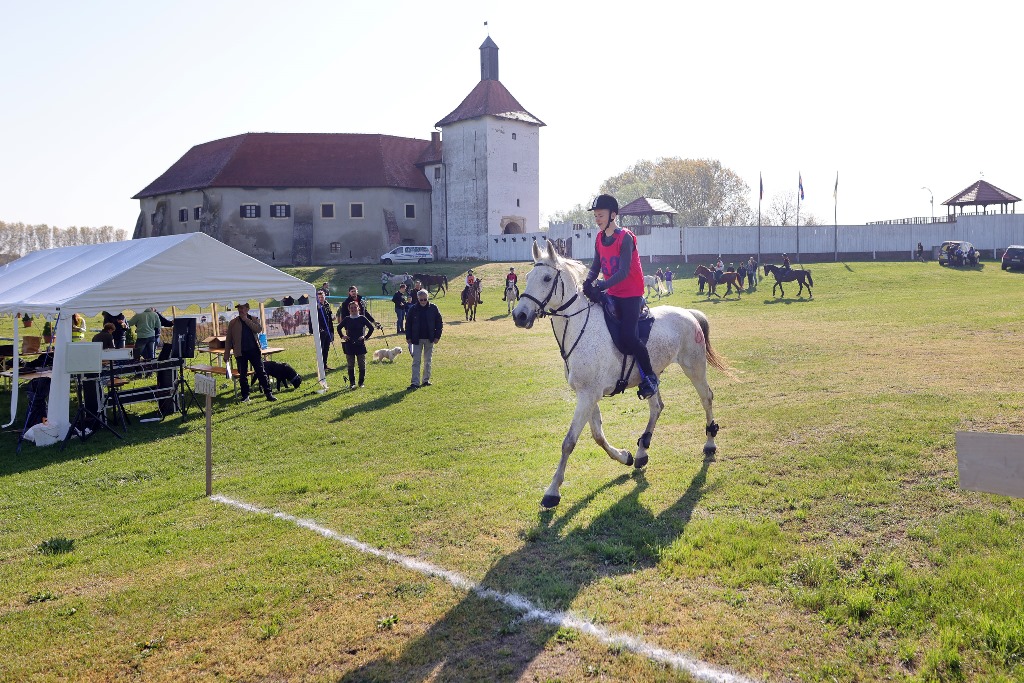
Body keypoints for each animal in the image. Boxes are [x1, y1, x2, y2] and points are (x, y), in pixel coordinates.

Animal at [512, 240, 729, 507]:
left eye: (546, 278)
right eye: (527, 277)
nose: (519, 315)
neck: (578, 326)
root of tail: (690, 314)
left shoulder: (588, 395)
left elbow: (569, 442)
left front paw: (552, 491)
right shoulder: (587, 395)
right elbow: (597, 435)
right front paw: (624, 456)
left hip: (694, 366)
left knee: (706, 398)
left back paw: (710, 443)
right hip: (652, 376)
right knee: (657, 407)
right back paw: (642, 451)